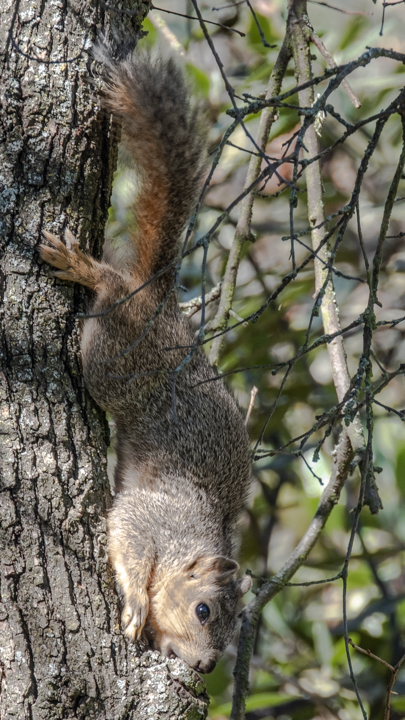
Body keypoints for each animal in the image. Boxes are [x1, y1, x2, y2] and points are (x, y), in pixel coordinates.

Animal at [39, 50, 251, 676]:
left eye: (235, 632)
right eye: (204, 610)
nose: (205, 668)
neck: (200, 534)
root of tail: (158, 301)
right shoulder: (153, 518)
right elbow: (130, 542)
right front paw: (135, 601)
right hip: (114, 357)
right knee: (112, 289)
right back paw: (87, 269)